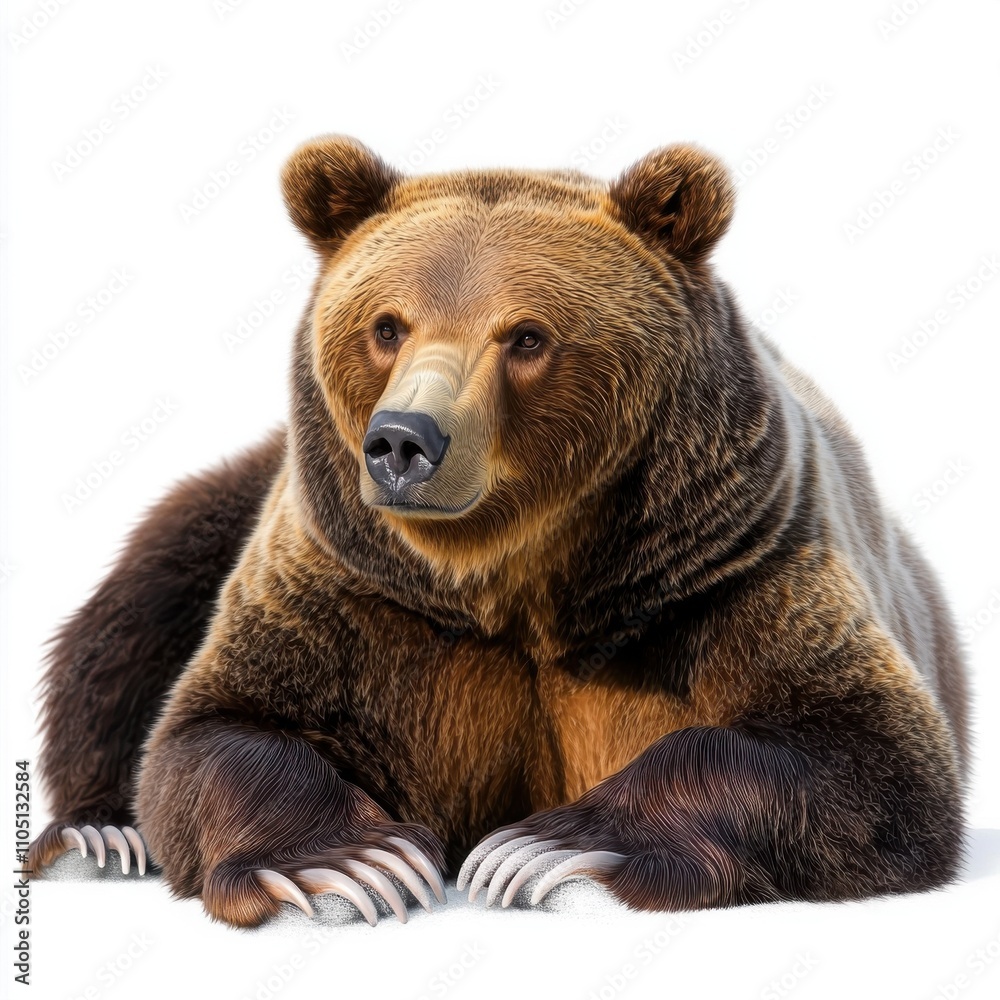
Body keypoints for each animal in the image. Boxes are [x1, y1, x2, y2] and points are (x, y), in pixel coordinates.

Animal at [28, 136, 970, 928]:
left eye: (526, 335)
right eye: (386, 325)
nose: (402, 442)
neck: (511, 578)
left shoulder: (726, 572)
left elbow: (871, 757)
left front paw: (547, 850)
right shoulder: (353, 589)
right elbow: (216, 733)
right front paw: (354, 864)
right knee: (137, 604)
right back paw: (98, 838)